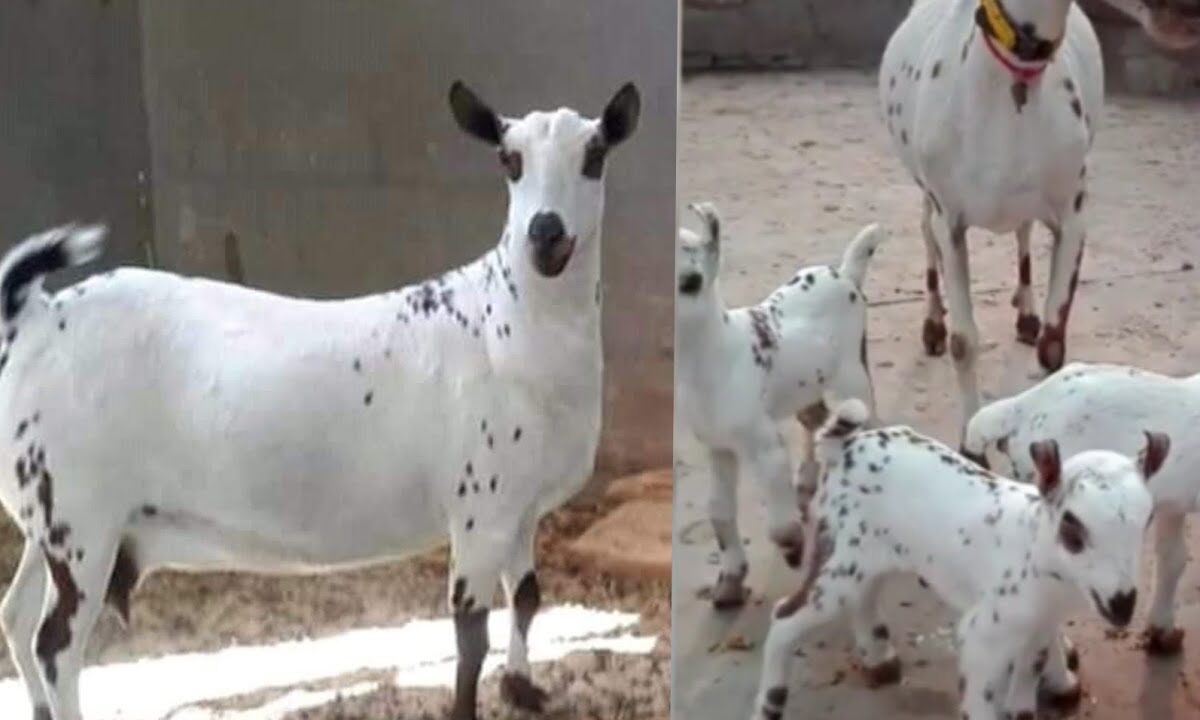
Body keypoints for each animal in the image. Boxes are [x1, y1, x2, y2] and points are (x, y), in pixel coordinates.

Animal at [0, 80, 640, 720]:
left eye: (595, 155)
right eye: (509, 159)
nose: (545, 233)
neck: (502, 324)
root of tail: (37, 318)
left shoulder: (522, 509)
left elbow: (528, 598)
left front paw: (523, 686)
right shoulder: (480, 508)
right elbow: (469, 637)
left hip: (49, 517)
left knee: (16, 614)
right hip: (81, 520)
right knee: (56, 643)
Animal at [675, 202, 886, 609]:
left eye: (691, 282)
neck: (721, 356)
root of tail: (846, 273)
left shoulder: (764, 445)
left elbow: (778, 525)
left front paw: (793, 548)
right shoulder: (719, 448)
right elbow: (718, 512)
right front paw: (729, 583)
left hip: (852, 376)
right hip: (807, 387)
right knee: (815, 419)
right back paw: (806, 480)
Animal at [752, 398, 1165, 720]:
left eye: (1148, 519)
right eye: (1072, 526)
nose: (1122, 604)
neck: (1031, 549)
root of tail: (844, 446)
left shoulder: (1036, 631)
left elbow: (1025, 692)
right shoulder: (983, 636)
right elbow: (981, 702)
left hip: (868, 555)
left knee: (864, 596)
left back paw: (879, 658)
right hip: (839, 554)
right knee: (785, 617)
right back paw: (770, 704)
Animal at [878, 0, 1200, 446]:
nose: (1189, 14)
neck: (1009, 79)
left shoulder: (1073, 216)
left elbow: (1053, 345)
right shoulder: (950, 219)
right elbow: (964, 342)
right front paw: (971, 442)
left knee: (1023, 231)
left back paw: (1026, 312)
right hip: (926, 193)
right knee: (926, 233)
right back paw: (933, 325)